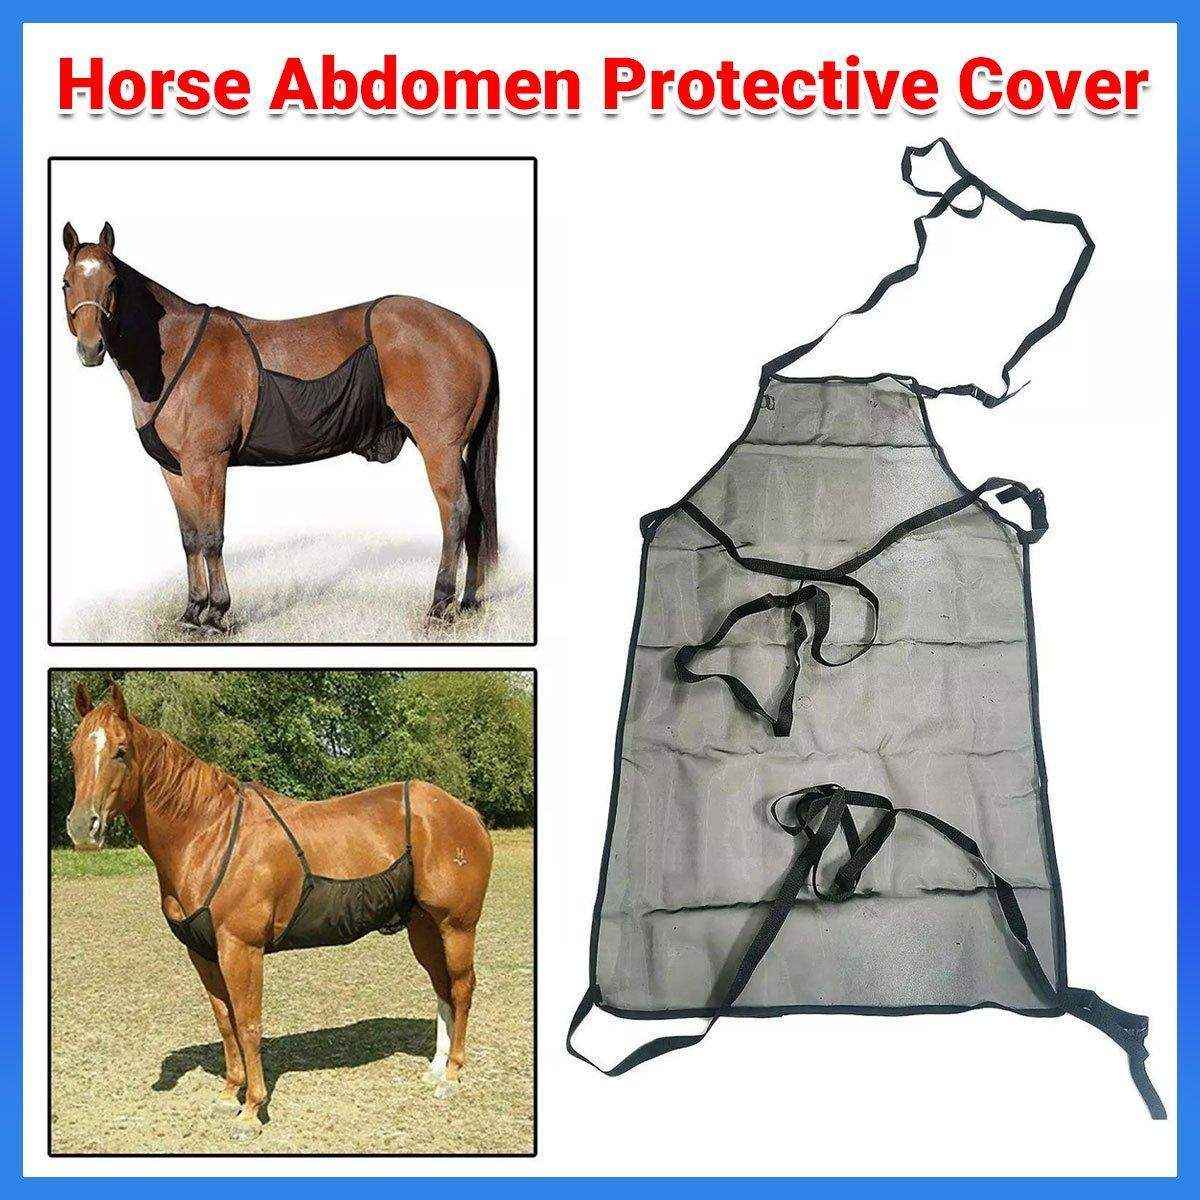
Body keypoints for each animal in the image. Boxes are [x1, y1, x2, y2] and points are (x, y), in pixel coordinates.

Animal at [60, 222, 500, 633]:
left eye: (113, 283)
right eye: (66, 282)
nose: (91, 349)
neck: (176, 355)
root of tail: (470, 332)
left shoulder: (208, 463)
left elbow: (212, 536)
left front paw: (217, 614)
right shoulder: (175, 469)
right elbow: (190, 539)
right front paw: (191, 612)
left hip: (439, 448)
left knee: (456, 513)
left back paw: (440, 606)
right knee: (475, 513)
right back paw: (468, 603)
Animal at [64, 682, 494, 1141]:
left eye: (121, 750)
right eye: (74, 750)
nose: (82, 828)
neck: (209, 833)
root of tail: (466, 812)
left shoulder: (241, 948)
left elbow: (248, 1023)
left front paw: (252, 1109)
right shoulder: (203, 952)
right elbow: (225, 1020)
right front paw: (228, 1093)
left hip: (457, 926)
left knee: (462, 988)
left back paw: (453, 1075)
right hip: (424, 927)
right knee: (442, 987)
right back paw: (436, 1068)